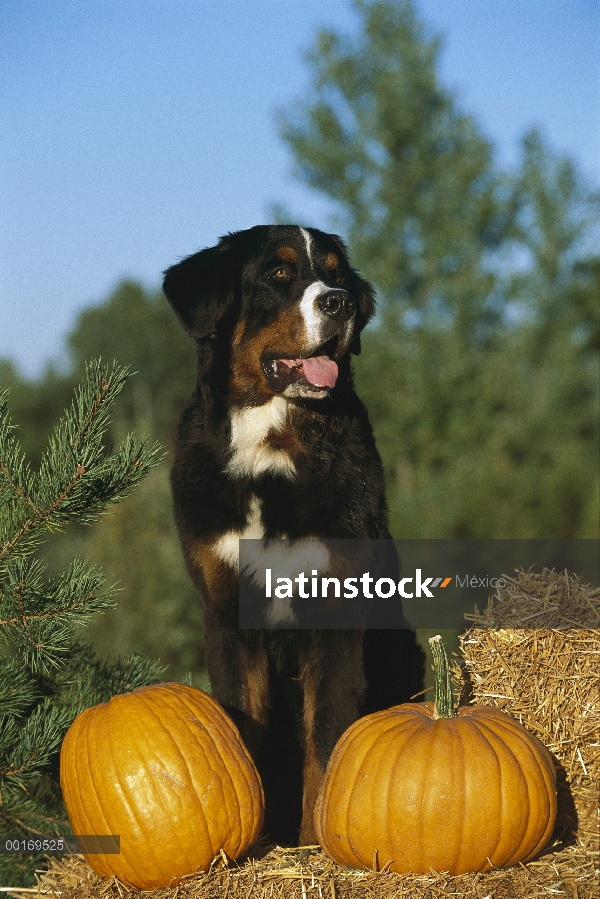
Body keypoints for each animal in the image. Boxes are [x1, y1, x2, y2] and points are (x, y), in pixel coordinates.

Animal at [162, 223, 420, 844]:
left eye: (336, 274)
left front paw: (315, 844)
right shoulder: (228, 612)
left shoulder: (336, 610)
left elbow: (326, 744)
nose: (340, 303)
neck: (269, 450)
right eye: (278, 274)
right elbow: (245, 738)